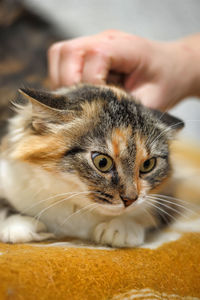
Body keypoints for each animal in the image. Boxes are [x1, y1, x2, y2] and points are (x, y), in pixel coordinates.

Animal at [0, 83, 184, 247]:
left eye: (148, 164)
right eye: (102, 162)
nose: (130, 199)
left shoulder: (167, 197)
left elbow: (147, 213)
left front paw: (121, 227)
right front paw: (21, 225)